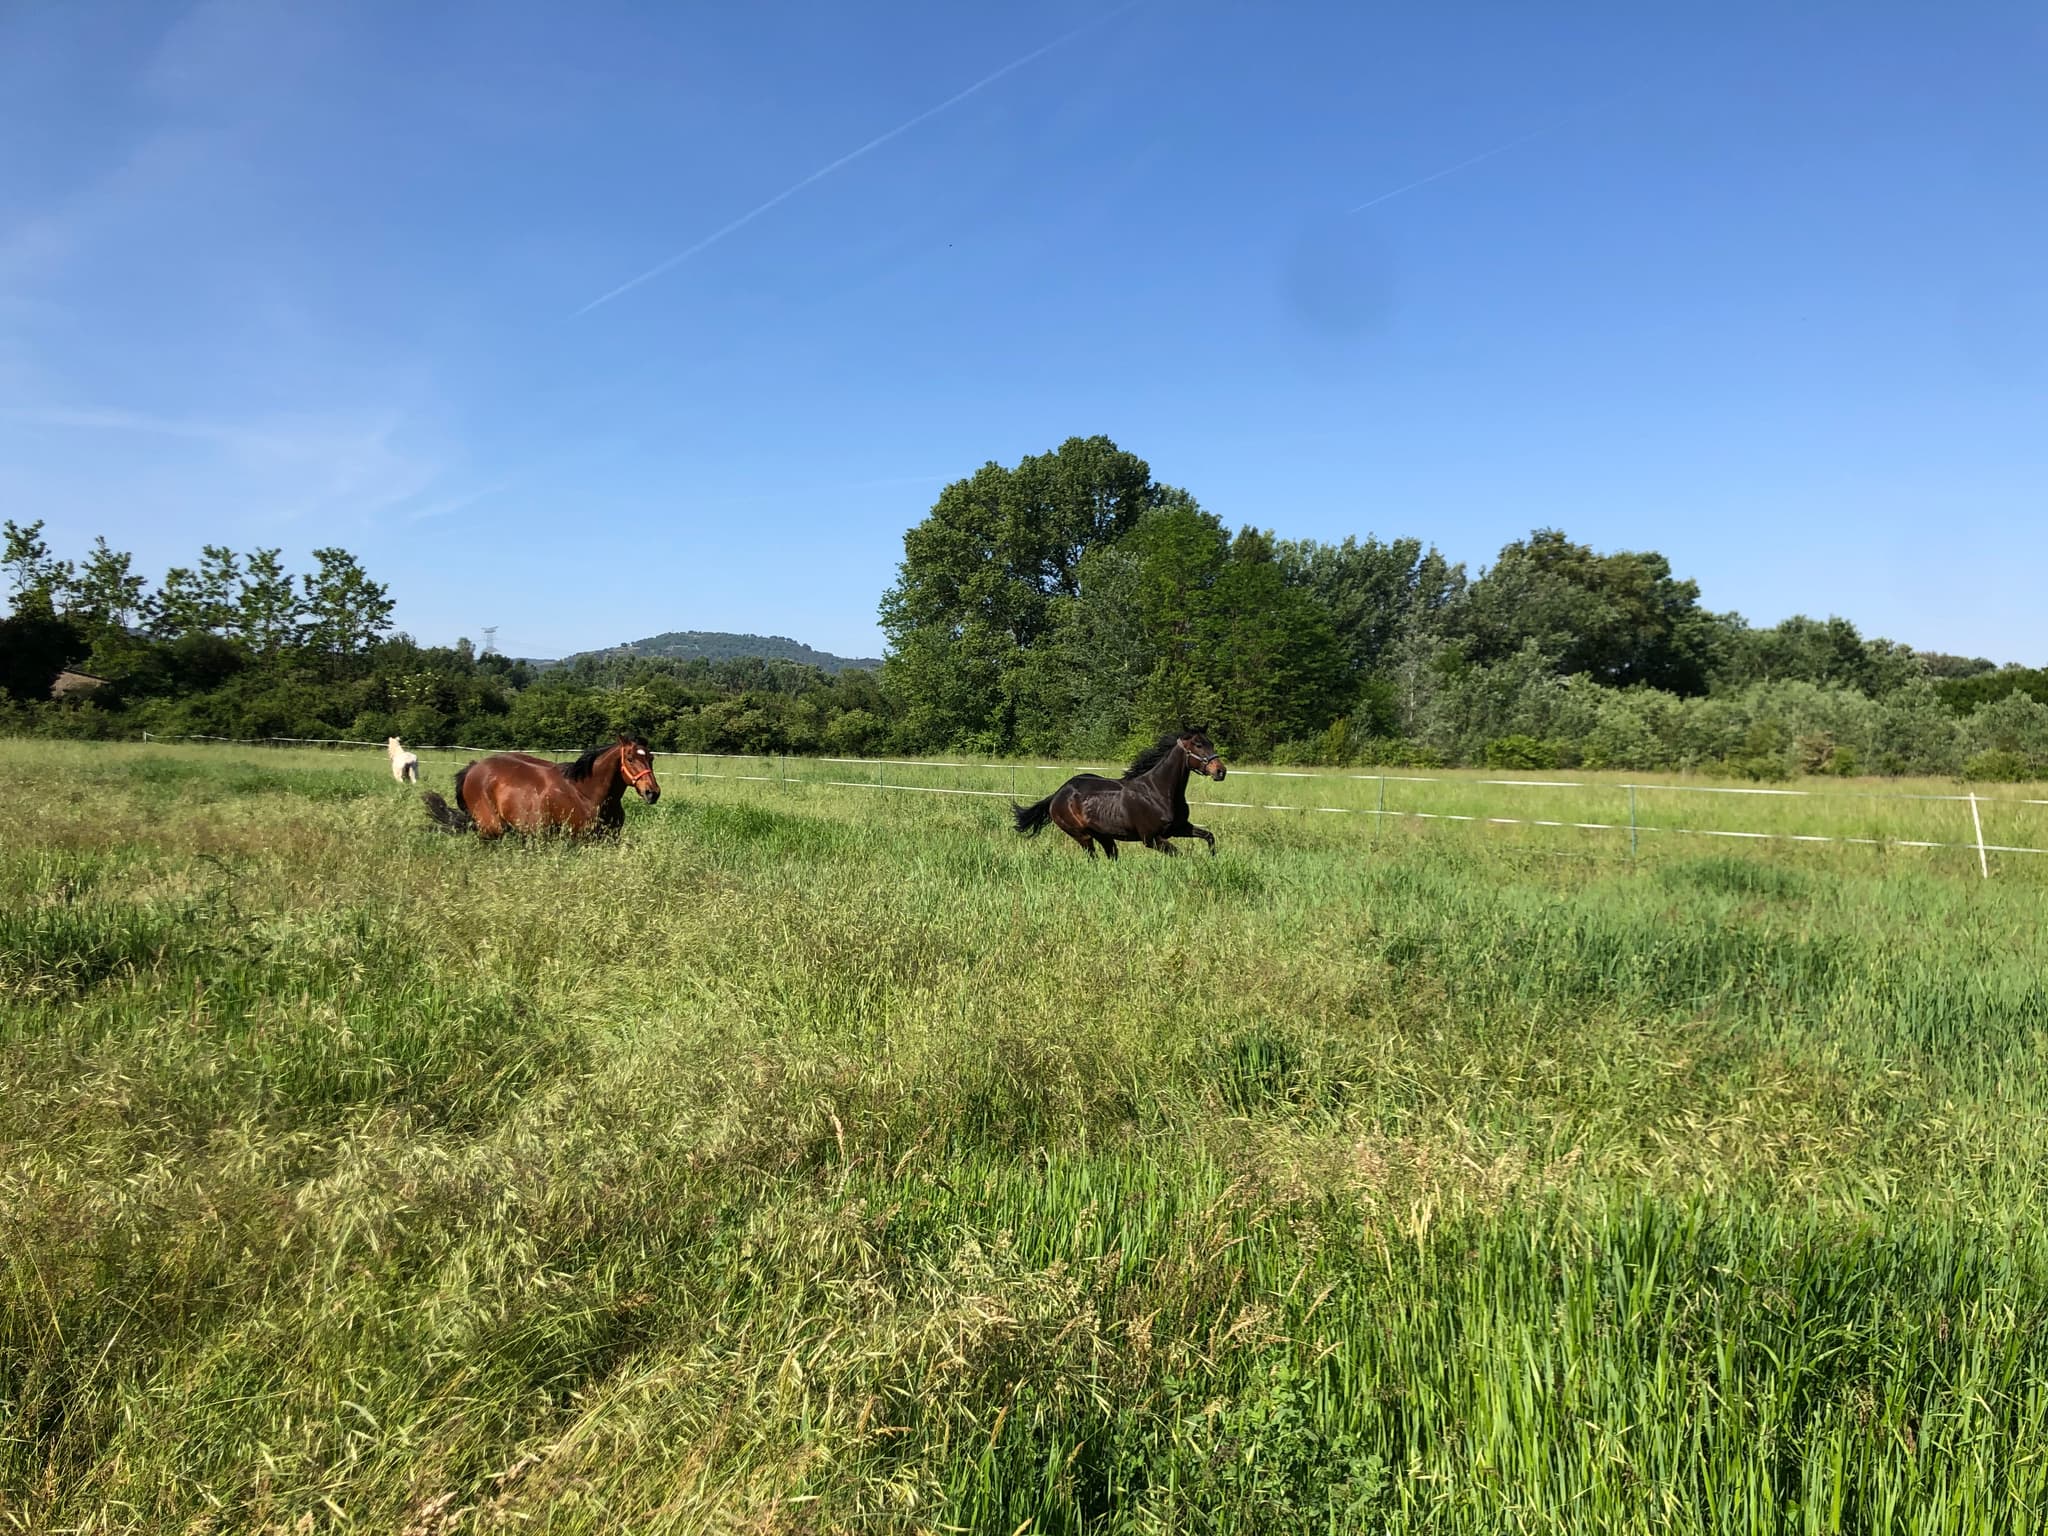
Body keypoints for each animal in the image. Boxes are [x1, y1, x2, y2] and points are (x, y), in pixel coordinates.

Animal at [422, 735, 660, 839]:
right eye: (630, 758)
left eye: (651, 758)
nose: (653, 793)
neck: (586, 793)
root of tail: (473, 768)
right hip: (491, 829)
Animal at [1012, 727, 1226, 859]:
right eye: (1198, 744)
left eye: (1212, 743)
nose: (1221, 771)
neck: (1159, 791)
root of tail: (1058, 794)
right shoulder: (1151, 838)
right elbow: (1180, 854)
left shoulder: (1179, 828)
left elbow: (1209, 836)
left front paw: (1213, 860)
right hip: (1082, 836)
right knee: (1093, 858)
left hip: (1104, 836)